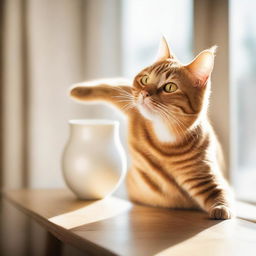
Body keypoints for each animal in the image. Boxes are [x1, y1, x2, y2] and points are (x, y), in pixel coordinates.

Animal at [69, 37, 234, 219]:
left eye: (170, 87)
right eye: (145, 80)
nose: (144, 93)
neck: (165, 134)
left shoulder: (204, 176)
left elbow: (220, 193)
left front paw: (221, 208)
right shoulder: (133, 108)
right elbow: (111, 86)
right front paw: (78, 90)